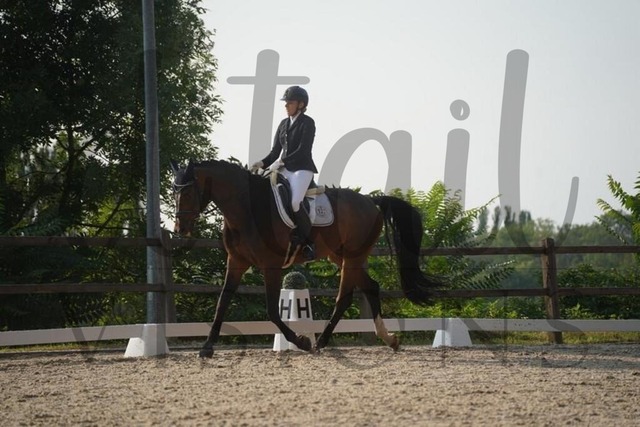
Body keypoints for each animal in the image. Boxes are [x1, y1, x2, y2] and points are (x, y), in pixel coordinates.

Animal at [170, 159, 443, 358]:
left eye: (188, 192)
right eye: (174, 192)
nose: (181, 229)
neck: (247, 209)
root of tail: (370, 200)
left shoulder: (271, 266)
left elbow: (272, 310)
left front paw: (300, 341)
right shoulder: (236, 262)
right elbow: (222, 302)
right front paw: (207, 347)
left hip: (353, 256)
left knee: (345, 297)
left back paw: (320, 342)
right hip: (342, 257)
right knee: (371, 287)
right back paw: (389, 339)